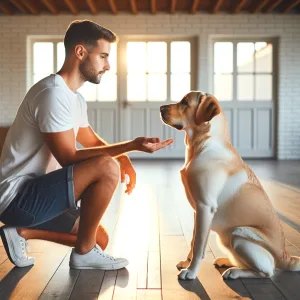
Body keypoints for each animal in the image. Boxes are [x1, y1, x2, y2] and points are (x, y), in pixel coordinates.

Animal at [161, 91, 300, 282]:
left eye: (185, 102)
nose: (160, 108)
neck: (201, 145)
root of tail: (286, 257)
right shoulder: (199, 210)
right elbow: (194, 241)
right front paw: (187, 263)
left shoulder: (205, 207)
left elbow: (198, 246)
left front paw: (191, 271)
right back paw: (227, 261)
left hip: (239, 234)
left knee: (266, 271)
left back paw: (234, 272)